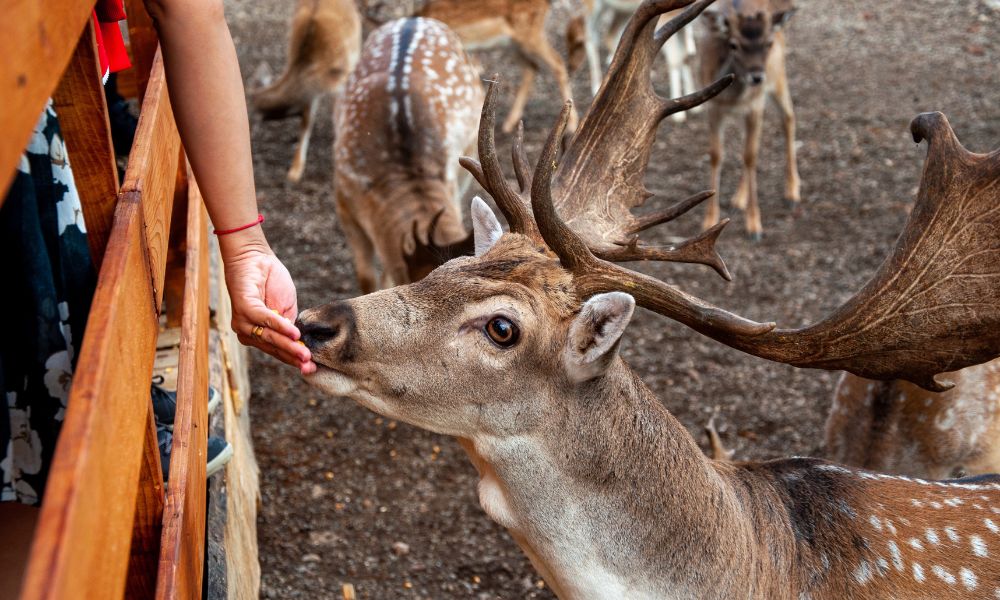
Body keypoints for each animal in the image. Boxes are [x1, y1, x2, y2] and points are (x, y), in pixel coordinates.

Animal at [700, 0, 800, 239]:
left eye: (768, 43)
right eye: (733, 44)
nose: (757, 77)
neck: (732, 97)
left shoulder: (755, 105)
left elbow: (750, 157)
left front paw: (754, 225)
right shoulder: (713, 108)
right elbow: (717, 155)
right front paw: (709, 220)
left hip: (778, 77)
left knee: (788, 118)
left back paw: (792, 192)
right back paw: (738, 199)